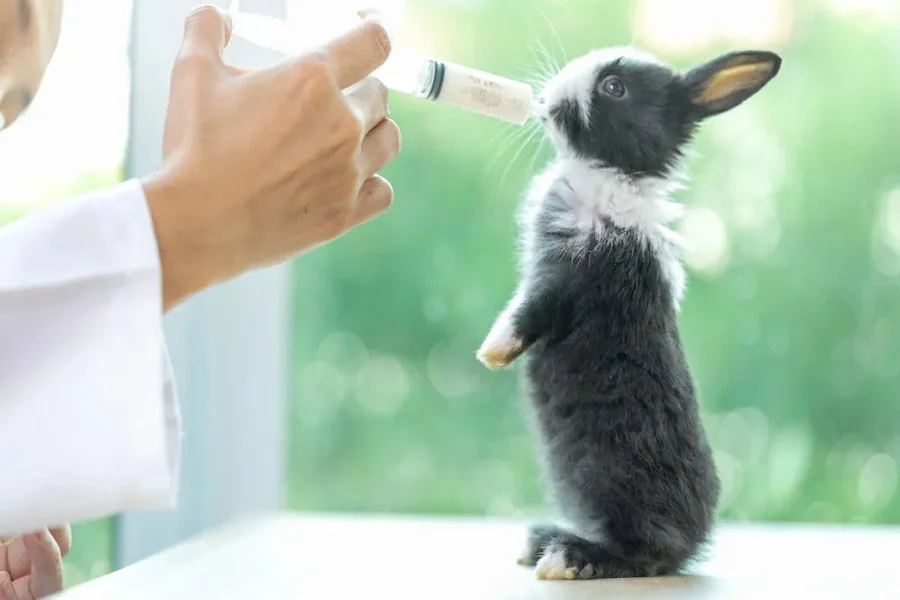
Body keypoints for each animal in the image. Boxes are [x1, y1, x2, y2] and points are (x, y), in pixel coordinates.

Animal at [475, 47, 782, 580]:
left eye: (614, 87)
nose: (547, 97)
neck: (612, 173)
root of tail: (692, 544)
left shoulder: (569, 277)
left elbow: (526, 314)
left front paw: (491, 353)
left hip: (612, 481)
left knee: (642, 555)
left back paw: (567, 557)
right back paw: (540, 542)